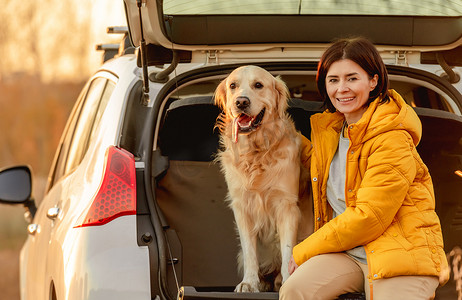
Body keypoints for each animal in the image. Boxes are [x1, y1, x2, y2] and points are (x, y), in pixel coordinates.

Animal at [216, 65, 310, 292]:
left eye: (258, 85)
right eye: (233, 85)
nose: (241, 102)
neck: (256, 153)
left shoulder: (286, 206)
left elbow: (287, 250)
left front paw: (287, 281)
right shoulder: (242, 207)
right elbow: (250, 252)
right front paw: (249, 283)